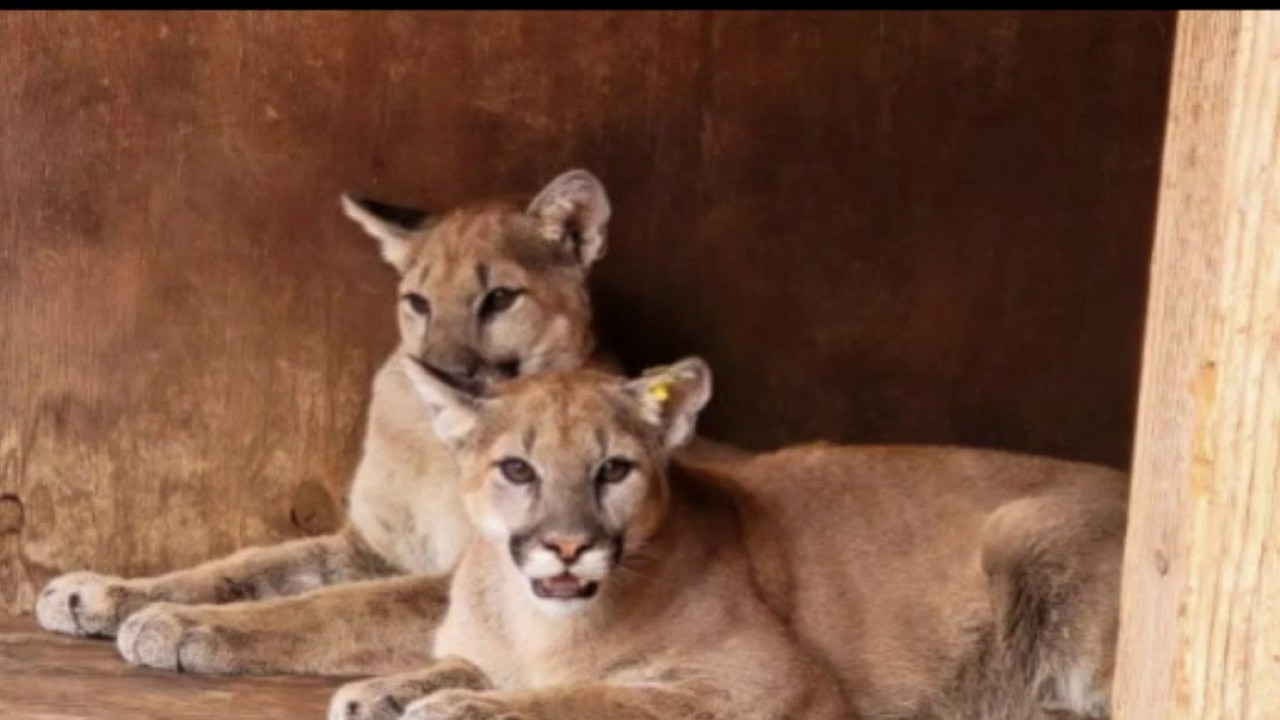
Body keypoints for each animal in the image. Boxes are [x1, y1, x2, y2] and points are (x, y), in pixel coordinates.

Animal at [35, 169, 618, 676]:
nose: (439, 372)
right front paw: (105, 592)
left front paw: (183, 624)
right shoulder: (375, 547)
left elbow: (341, 605)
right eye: (417, 302)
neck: (438, 447)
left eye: (499, 297)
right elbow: (248, 564)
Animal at [328, 357, 1126, 720]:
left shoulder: (767, 680)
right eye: (516, 469)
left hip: (1024, 533)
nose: (567, 545)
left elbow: (598, 695)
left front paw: (460, 707)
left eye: (613, 469)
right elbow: (462, 662)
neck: (536, 624)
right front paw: (381, 691)